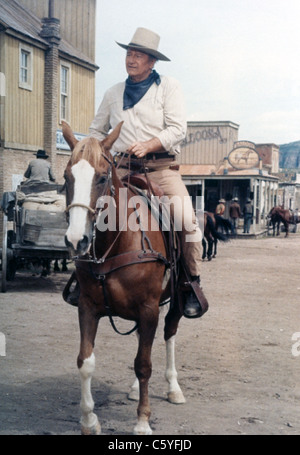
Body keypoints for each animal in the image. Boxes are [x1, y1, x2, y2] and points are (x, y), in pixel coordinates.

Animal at [62, 123, 186, 436]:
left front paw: (142, 420)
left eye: (102, 177)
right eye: (67, 177)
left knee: (169, 334)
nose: (76, 240)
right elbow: (85, 361)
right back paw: (133, 390)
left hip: (176, 301)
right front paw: (89, 420)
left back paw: (174, 388)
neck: (117, 243)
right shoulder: (88, 306)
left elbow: (144, 364)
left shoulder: (149, 308)